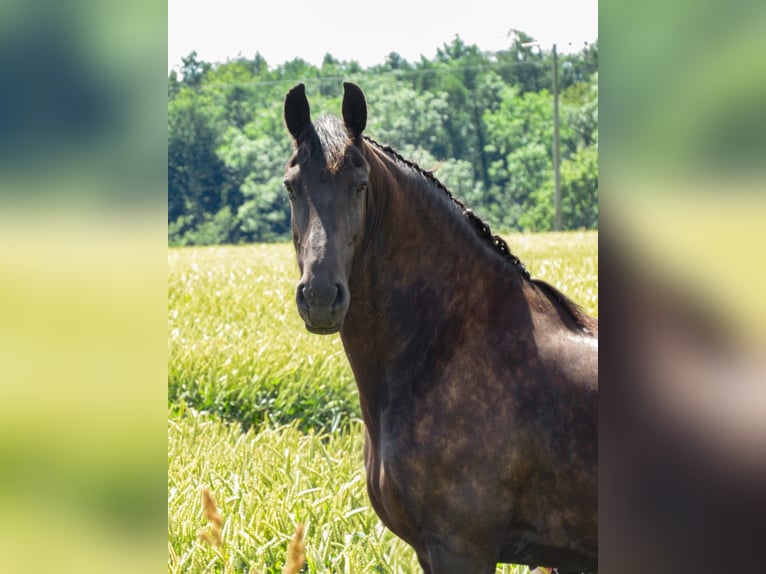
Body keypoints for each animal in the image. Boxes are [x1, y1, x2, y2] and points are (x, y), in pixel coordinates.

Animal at [282, 82, 600, 574]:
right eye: (291, 186)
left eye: (360, 186)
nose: (319, 297)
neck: (446, 347)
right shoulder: (428, 550)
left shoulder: (462, 547)